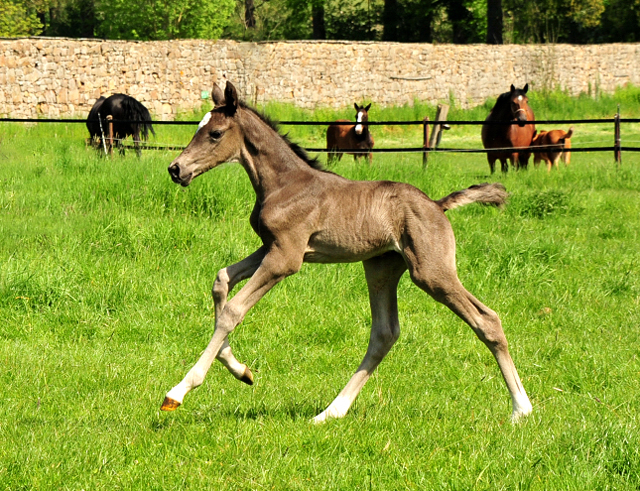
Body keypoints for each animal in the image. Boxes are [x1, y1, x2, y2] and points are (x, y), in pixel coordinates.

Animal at [162, 82, 532, 424]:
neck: (284, 183)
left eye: (215, 133)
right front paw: (242, 371)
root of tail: (438, 205)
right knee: (384, 333)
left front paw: (178, 391)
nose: (176, 170)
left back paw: (521, 409)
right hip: (382, 267)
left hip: (431, 271)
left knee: (486, 319)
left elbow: (233, 311)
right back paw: (330, 412)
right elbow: (221, 280)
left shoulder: (286, 258)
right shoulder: (271, 246)